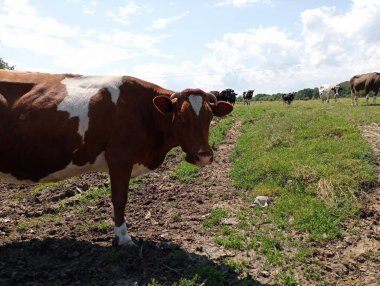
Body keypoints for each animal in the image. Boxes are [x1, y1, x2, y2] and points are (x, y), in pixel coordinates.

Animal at [0, 70, 233, 246]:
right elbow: (119, 199)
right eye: (181, 117)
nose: (204, 156)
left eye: (210, 117)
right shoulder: (120, 157)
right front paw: (123, 237)